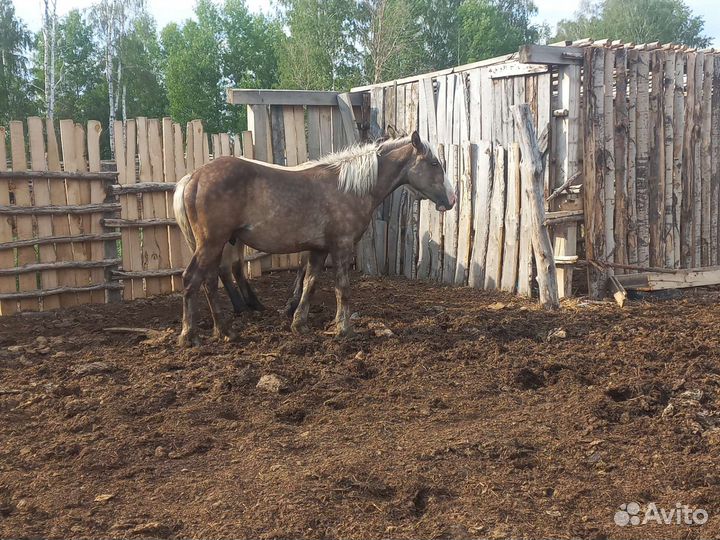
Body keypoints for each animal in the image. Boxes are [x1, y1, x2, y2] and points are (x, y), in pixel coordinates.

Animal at [173, 131, 455, 347]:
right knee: (192, 279)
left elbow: (310, 283)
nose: (452, 199)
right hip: (212, 243)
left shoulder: (319, 250)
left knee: (209, 281)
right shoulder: (341, 246)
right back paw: (190, 336)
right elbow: (342, 287)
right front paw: (344, 328)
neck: (349, 187)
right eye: (434, 164)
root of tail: (193, 178)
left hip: (215, 246)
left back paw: (225, 331)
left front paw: (299, 323)